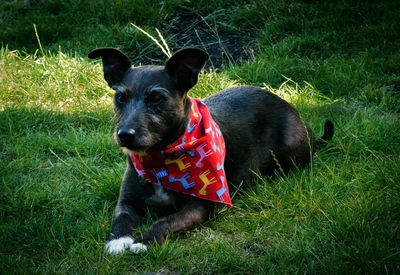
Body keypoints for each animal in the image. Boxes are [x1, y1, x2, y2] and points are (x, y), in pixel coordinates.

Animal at [88, 47, 334, 254]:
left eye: (156, 98)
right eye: (120, 97)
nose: (124, 134)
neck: (160, 160)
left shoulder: (198, 207)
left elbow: (165, 221)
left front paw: (143, 241)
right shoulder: (127, 201)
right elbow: (121, 218)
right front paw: (118, 240)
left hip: (290, 149)